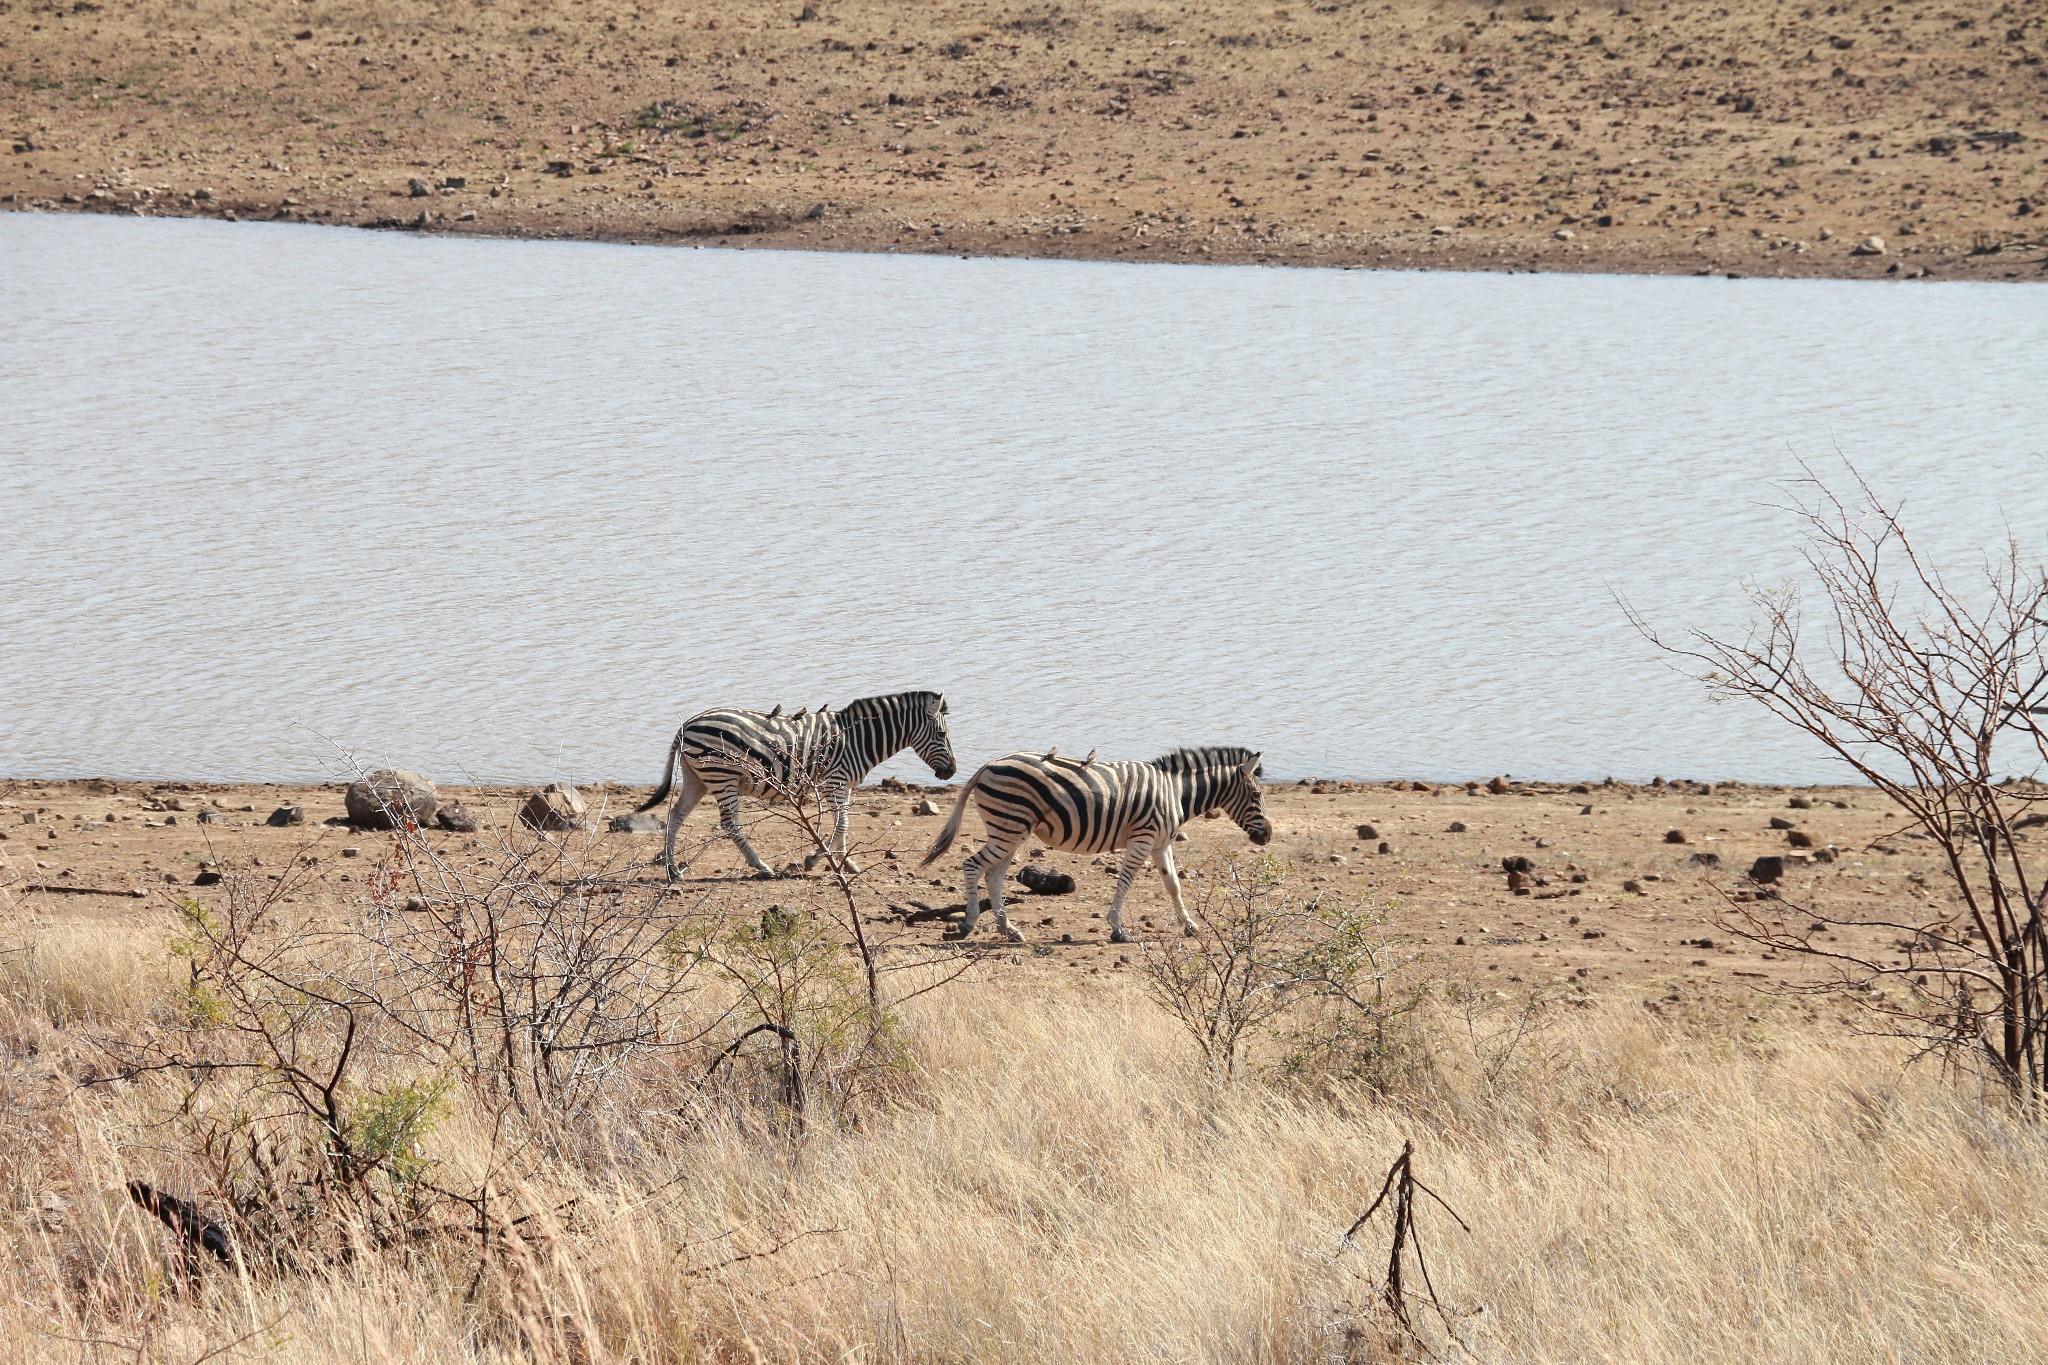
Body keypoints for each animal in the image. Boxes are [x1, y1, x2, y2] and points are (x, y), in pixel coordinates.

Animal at [634, 695, 954, 888]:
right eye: (942, 734)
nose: (951, 772)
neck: (859, 739)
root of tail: (687, 724)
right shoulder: (836, 781)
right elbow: (841, 824)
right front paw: (816, 859)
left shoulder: (843, 785)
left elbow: (843, 824)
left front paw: (846, 862)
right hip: (722, 776)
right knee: (729, 824)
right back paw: (761, 866)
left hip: (696, 778)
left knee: (675, 816)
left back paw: (672, 870)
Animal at [925, 740, 1261, 945]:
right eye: (1257, 795)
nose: (1266, 835)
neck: (1174, 792)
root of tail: (989, 764)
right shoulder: (1143, 839)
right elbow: (1125, 882)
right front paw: (1117, 928)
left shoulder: (1160, 843)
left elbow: (1173, 885)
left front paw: (1189, 925)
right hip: (1008, 827)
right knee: (973, 865)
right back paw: (968, 923)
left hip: (1012, 831)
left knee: (994, 876)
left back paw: (1009, 930)